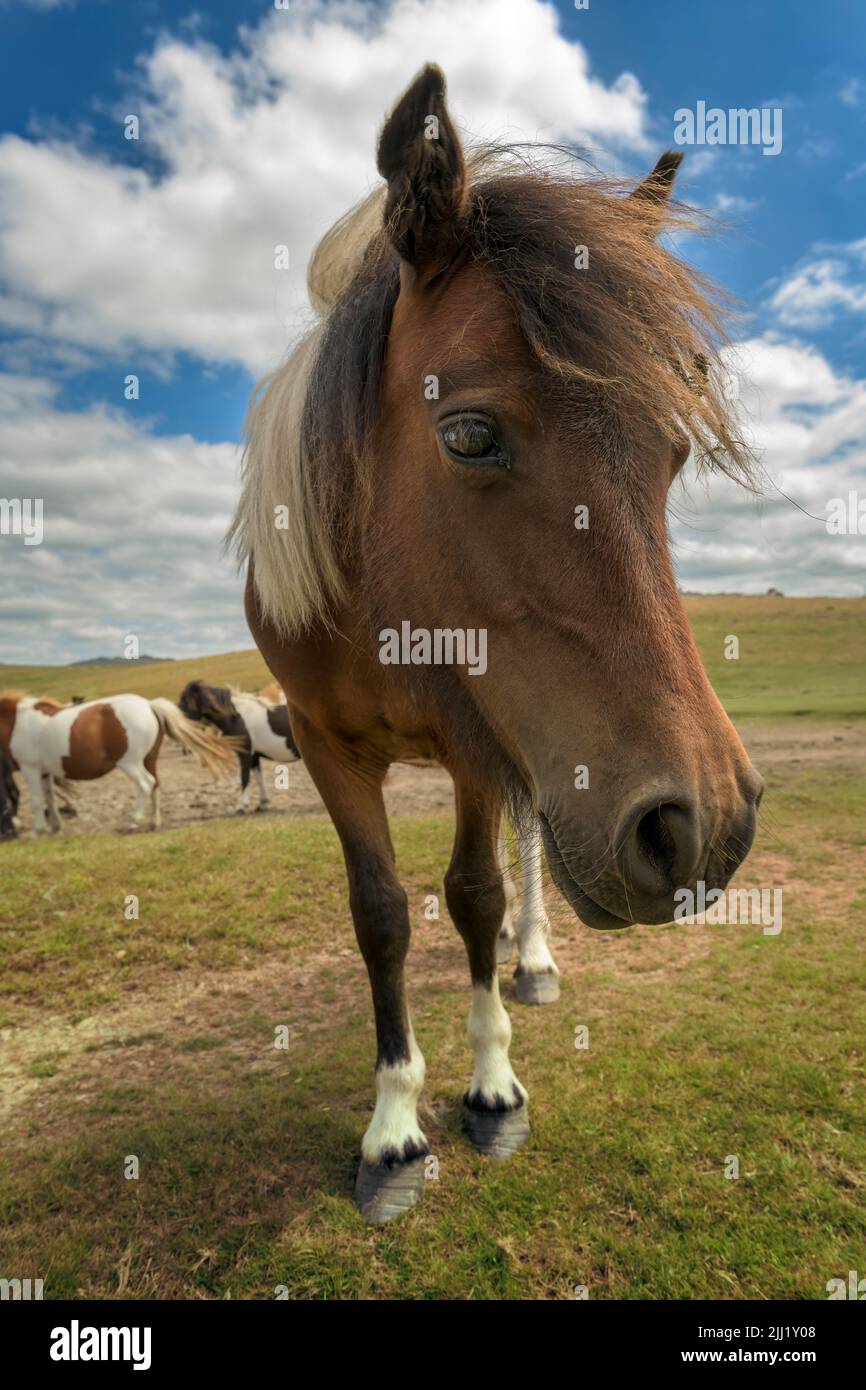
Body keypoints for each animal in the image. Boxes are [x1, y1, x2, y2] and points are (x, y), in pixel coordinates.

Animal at [0, 689, 237, 828]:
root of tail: (149, 705)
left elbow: (36, 800)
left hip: (130, 763)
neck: (17, 721)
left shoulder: (30, 769)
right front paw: (56, 826)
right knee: (156, 785)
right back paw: (154, 821)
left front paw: (38, 830)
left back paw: (133, 821)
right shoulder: (44, 771)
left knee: (146, 783)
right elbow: (49, 797)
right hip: (149, 759)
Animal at [230, 65, 767, 1223]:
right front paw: (392, 1130)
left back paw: (534, 961)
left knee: (522, 861)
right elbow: (382, 912)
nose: (703, 825)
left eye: (670, 454)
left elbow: (475, 896)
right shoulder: (328, 747)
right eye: (468, 434)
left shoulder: (479, 738)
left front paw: (490, 1084)